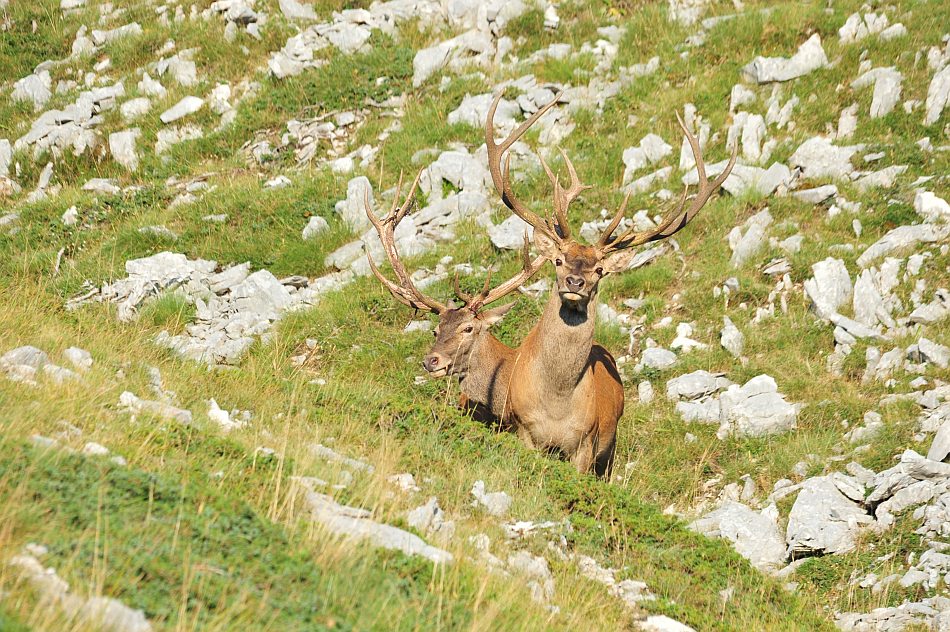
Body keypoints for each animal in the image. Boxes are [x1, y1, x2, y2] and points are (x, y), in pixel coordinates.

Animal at [488, 94, 740, 476]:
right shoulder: (524, 429)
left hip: (610, 446)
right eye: (558, 260)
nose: (575, 281)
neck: (555, 405)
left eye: (600, 269)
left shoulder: (586, 443)